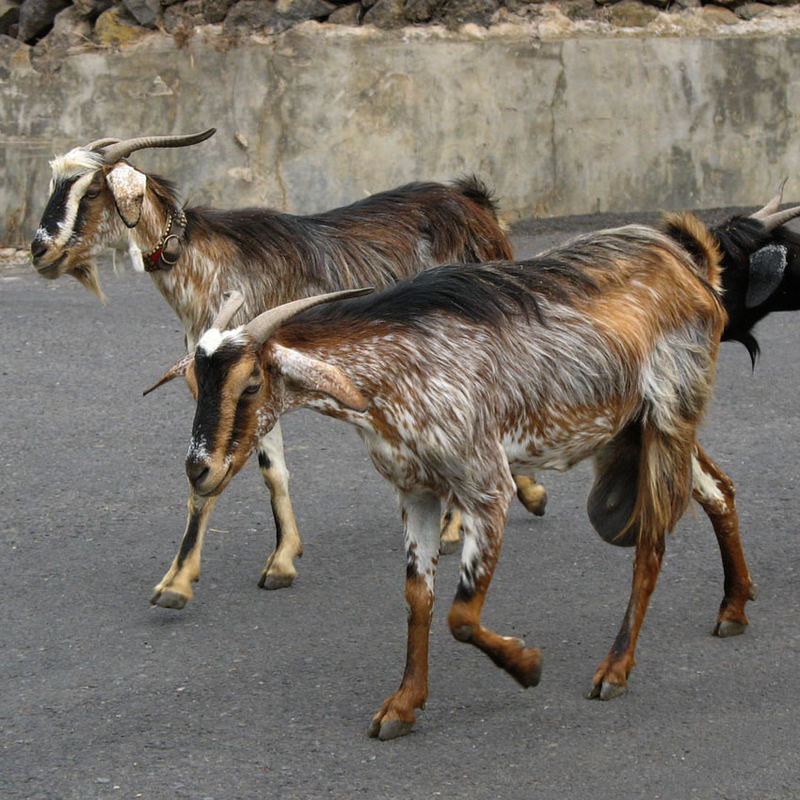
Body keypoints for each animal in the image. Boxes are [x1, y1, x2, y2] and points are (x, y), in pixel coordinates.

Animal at [29, 126, 544, 600]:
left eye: (91, 190)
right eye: (56, 184)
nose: (39, 251)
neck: (209, 266)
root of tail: (472, 200)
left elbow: (219, 474)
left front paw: (178, 580)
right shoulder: (222, 388)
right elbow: (257, 470)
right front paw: (275, 559)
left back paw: (475, 516)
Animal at [148, 192, 800, 736]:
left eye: (252, 383)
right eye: (195, 381)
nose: (199, 470)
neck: (393, 370)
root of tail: (691, 265)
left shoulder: (485, 487)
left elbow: (462, 614)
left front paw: (528, 665)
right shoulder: (415, 492)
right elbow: (419, 598)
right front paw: (403, 706)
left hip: (669, 416)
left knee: (653, 542)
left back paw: (615, 670)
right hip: (643, 428)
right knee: (718, 489)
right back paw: (733, 607)